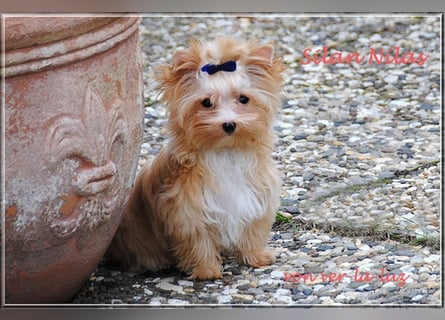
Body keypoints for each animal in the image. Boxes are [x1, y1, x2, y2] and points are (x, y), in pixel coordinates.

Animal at [106, 36, 282, 278]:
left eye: (243, 99)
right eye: (207, 102)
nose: (229, 124)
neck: (225, 151)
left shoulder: (257, 196)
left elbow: (253, 230)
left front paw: (256, 256)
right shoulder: (188, 210)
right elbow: (198, 240)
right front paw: (206, 270)